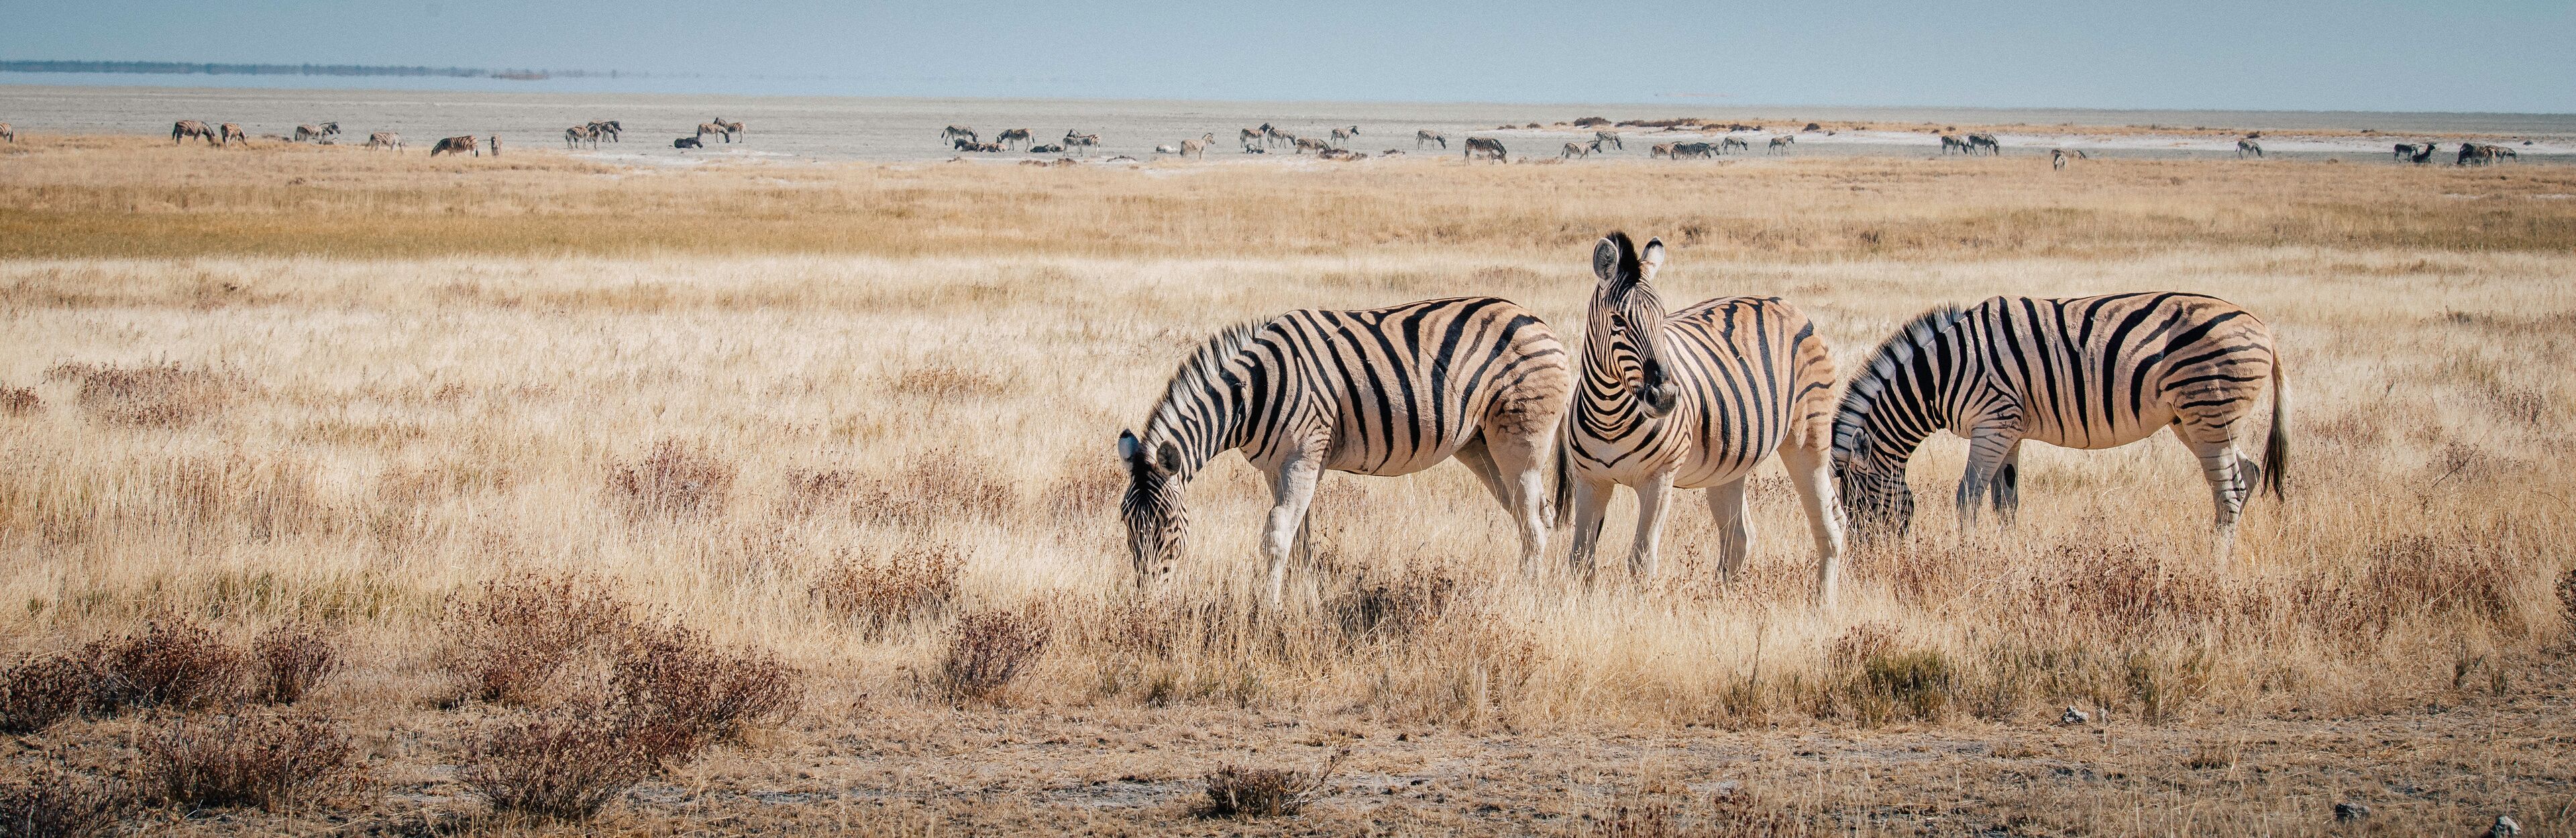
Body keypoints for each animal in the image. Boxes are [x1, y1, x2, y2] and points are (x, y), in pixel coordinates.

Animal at [1117, 297, 1572, 604]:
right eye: (1126, 524)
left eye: (1165, 524)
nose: (1144, 603)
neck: (1252, 393)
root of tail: (1540, 321)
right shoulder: (1281, 467)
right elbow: (1301, 539)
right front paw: (1305, 600)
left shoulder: (1302, 458)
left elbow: (1277, 534)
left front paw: (1266, 609)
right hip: (1481, 446)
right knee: (1536, 516)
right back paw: (1539, 589)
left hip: (1520, 442)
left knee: (1533, 524)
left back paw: (1526, 600)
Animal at [1557, 233, 1844, 602]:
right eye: (1618, 321)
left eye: (1663, 319)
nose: (1666, 397)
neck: (1610, 413)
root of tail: (1785, 303)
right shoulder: (1591, 480)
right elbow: (1580, 558)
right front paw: (1583, 606)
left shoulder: (1659, 479)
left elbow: (1642, 559)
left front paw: (1639, 609)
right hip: (1730, 461)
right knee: (1740, 536)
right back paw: (1724, 602)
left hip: (1808, 439)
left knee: (1829, 522)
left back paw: (1824, 604)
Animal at [1832, 293, 2288, 564]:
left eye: (1857, 504)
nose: (1867, 561)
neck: (1941, 375)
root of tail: (2263, 326)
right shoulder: (2009, 430)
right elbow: (2006, 501)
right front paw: (2008, 557)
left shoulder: (1992, 423)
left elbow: (1968, 495)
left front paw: (1966, 557)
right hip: (2193, 420)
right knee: (2246, 474)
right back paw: (2226, 552)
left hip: (2208, 408)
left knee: (2229, 490)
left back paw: (2216, 565)